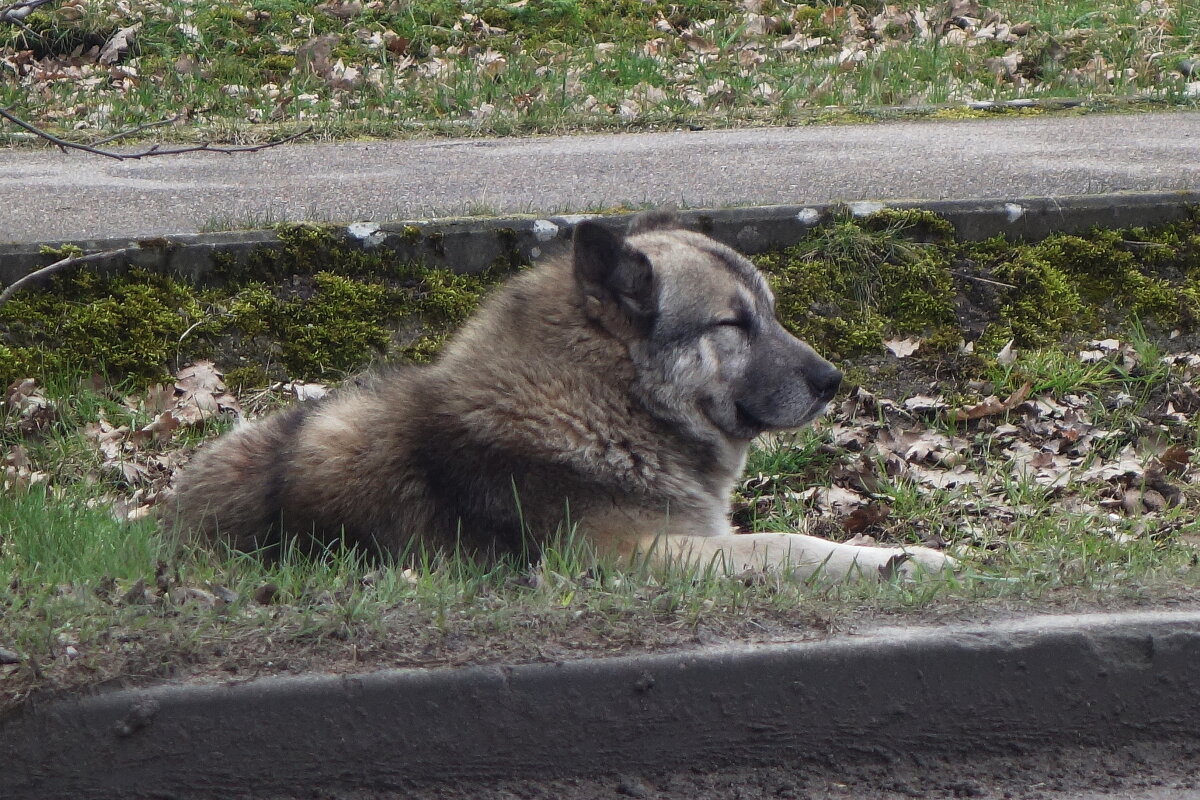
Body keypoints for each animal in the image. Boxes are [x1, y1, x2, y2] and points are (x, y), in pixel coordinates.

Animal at [171, 212, 955, 582]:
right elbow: (786, 544)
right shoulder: (634, 556)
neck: (607, 404)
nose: (833, 381)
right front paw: (900, 561)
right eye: (733, 323)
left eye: (771, 312)